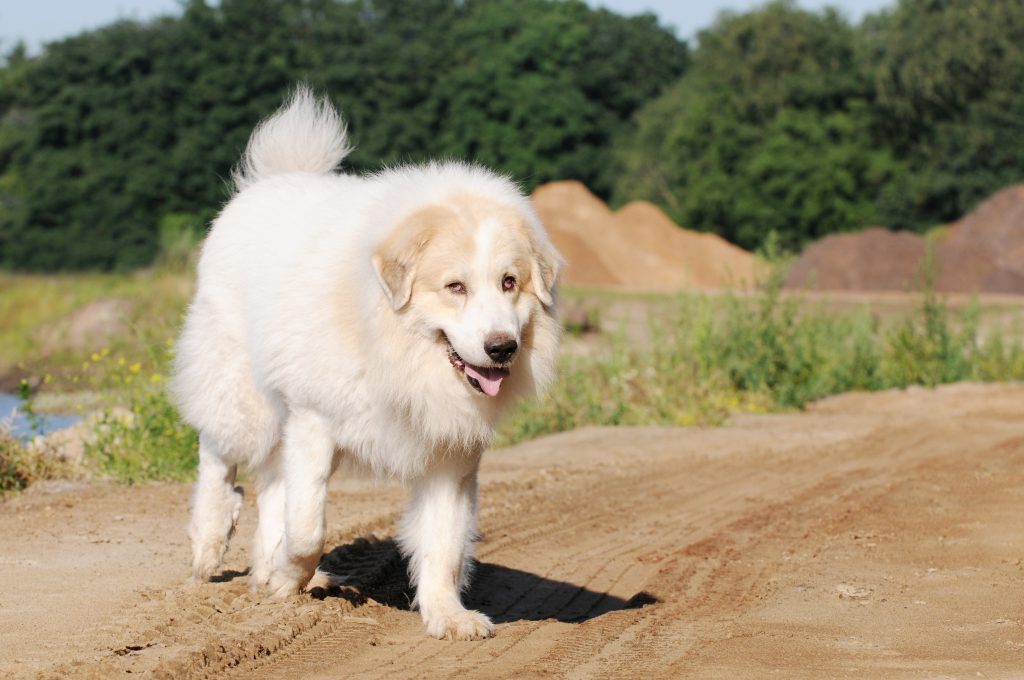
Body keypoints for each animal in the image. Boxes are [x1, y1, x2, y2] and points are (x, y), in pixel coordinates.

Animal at [172, 87, 565, 639]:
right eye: (456, 287)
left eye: (509, 282)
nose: (502, 348)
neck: (390, 344)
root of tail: (272, 181)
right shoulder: (313, 420)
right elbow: (307, 529)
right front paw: (289, 580)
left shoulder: (449, 454)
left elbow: (443, 545)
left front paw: (448, 617)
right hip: (241, 391)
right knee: (218, 454)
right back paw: (210, 545)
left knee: (270, 483)